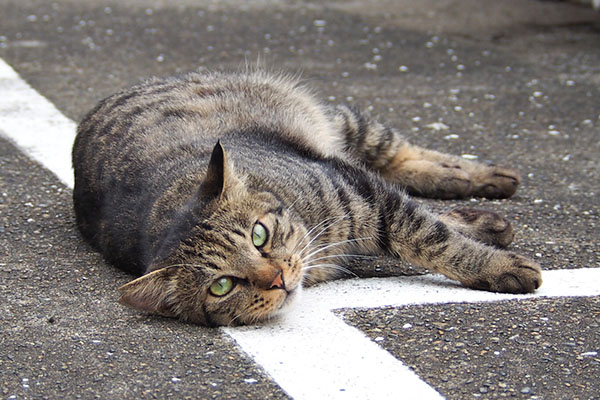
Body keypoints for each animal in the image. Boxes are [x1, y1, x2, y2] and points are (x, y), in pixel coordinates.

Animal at [72, 70, 540, 326]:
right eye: (222, 286)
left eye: (259, 236)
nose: (277, 278)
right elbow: (428, 228)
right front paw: (489, 242)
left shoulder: (359, 189)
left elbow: (432, 238)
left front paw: (499, 266)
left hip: (341, 129)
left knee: (396, 155)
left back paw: (492, 178)